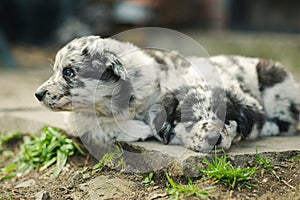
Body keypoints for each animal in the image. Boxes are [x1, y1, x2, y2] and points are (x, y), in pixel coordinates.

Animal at [35, 35, 300, 152]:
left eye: (68, 72)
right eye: (61, 70)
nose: (37, 94)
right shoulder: (76, 118)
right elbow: (92, 125)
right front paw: (138, 129)